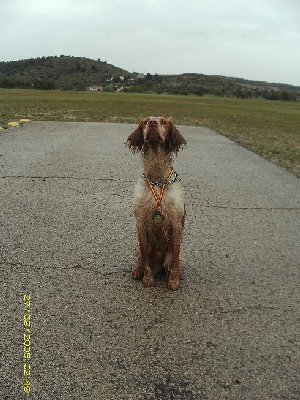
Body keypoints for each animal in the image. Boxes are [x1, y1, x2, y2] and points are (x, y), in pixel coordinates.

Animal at [126, 117, 186, 290]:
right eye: (145, 121)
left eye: (164, 122)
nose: (153, 121)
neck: (158, 181)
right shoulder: (140, 222)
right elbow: (144, 256)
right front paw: (147, 278)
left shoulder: (176, 224)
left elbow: (175, 259)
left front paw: (174, 281)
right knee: (140, 258)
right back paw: (137, 271)